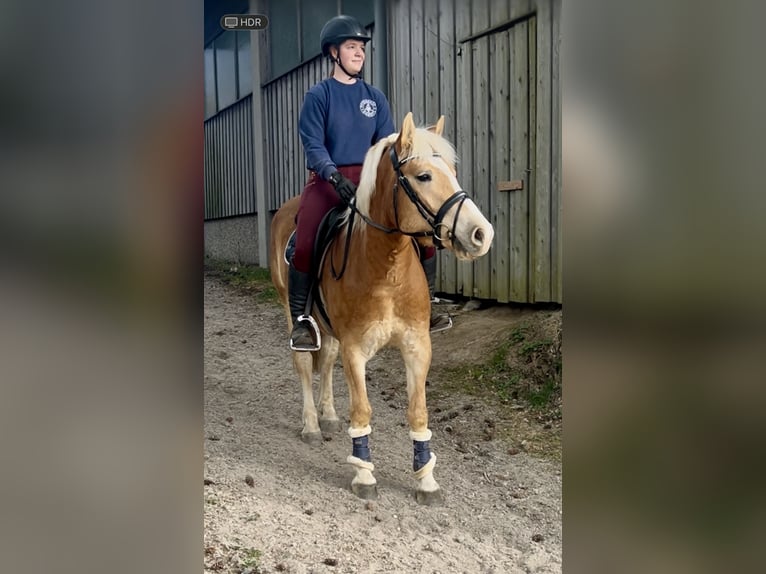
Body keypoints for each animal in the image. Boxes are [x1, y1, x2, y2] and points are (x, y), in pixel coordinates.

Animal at [272, 113, 498, 508]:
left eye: (453, 171)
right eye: (423, 176)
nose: (481, 234)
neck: (385, 266)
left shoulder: (417, 346)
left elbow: (418, 413)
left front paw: (426, 480)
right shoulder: (355, 350)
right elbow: (362, 410)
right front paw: (364, 475)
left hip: (329, 329)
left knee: (325, 361)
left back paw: (328, 416)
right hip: (292, 309)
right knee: (303, 363)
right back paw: (312, 425)